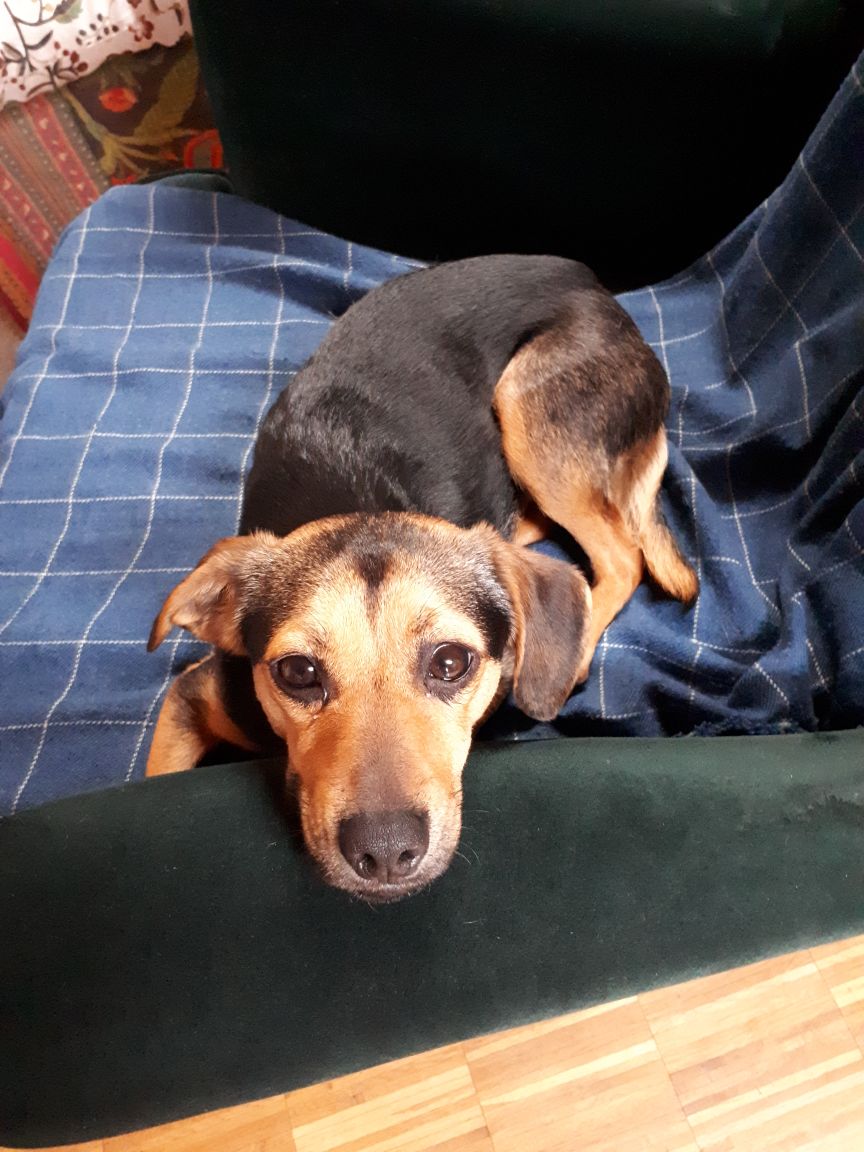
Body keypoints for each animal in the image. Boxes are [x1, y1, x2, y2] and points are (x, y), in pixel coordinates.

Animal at [146, 255, 697, 902]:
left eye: (451, 662)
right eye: (298, 673)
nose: (384, 852)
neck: (360, 501)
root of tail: (592, 284)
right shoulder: (188, 700)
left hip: (527, 406)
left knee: (620, 556)